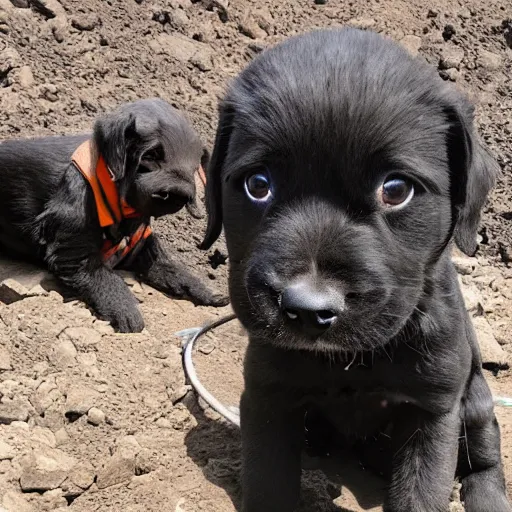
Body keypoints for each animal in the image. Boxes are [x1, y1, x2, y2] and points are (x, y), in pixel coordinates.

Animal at [0, 98, 227, 332]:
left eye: (194, 165)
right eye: (150, 155)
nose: (178, 190)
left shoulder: (142, 244)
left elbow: (169, 266)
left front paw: (218, 297)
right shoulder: (69, 233)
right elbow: (102, 275)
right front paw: (132, 323)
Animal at [202, 29, 510, 512]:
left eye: (396, 190)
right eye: (257, 184)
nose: (307, 309)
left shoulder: (434, 409)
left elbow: (423, 494)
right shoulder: (268, 395)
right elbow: (269, 483)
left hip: (476, 401)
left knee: (486, 457)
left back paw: (487, 497)